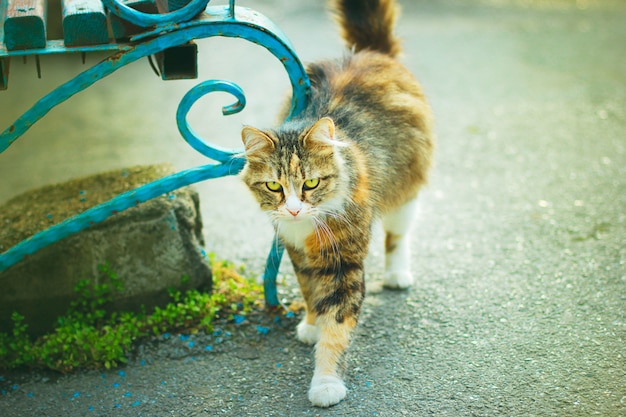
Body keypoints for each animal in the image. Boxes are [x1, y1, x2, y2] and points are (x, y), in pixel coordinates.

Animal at [236, 0, 432, 406]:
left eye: (311, 183)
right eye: (274, 186)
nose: (294, 209)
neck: (306, 226)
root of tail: (368, 52)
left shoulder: (343, 263)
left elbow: (336, 327)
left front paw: (326, 383)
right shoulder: (296, 251)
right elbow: (311, 294)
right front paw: (311, 324)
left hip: (404, 189)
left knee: (398, 235)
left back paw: (397, 275)